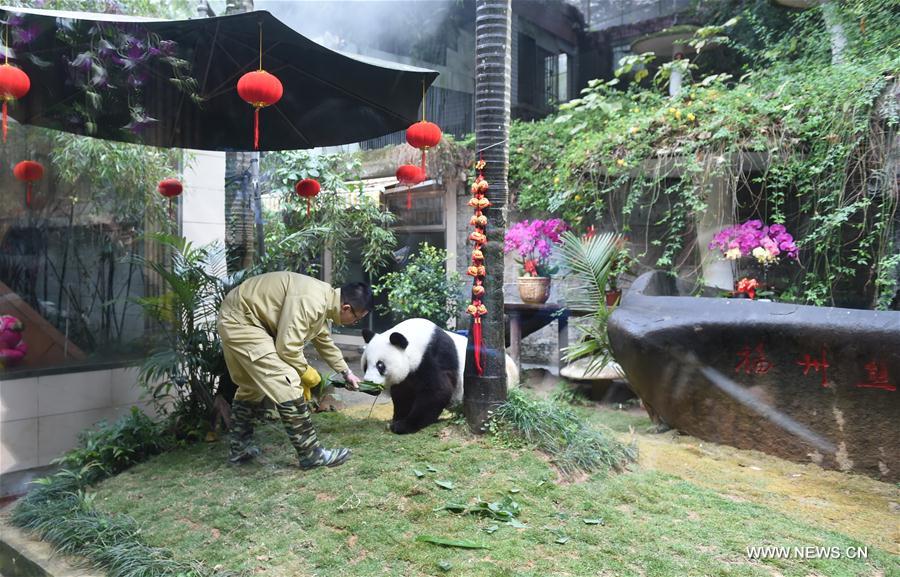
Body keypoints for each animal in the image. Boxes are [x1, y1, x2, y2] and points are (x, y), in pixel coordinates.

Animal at [362, 318, 520, 434]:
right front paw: (396, 420)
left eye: (380, 365)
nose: (368, 387)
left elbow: (437, 392)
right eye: (365, 365)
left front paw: (404, 425)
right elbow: (403, 395)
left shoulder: (432, 358)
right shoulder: (407, 376)